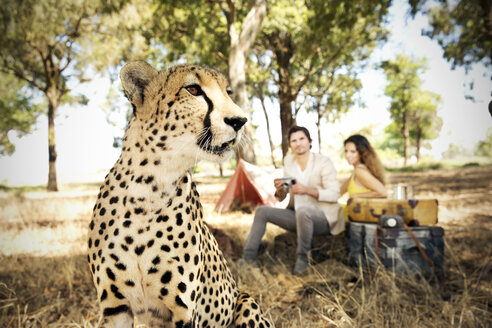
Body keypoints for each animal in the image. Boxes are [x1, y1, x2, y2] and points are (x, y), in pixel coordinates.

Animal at [87, 61, 272, 328]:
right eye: (193, 89)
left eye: (228, 92)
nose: (240, 121)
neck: (148, 187)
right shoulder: (115, 307)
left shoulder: (182, 311)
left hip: (245, 300)